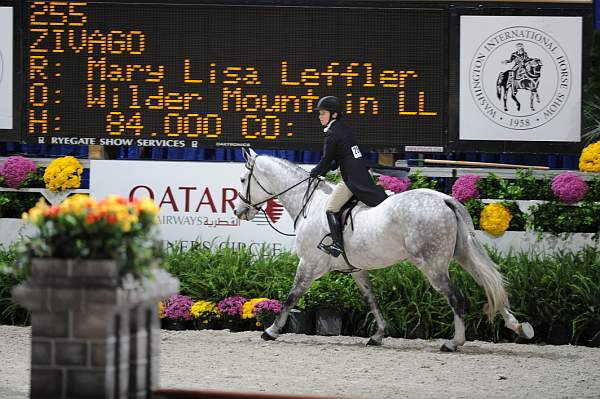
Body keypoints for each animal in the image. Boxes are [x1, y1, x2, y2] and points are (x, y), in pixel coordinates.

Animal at [234, 150, 536, 354]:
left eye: (243, 178)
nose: (239, 211)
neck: (310, 203)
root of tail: (444, 198)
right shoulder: (356, 269)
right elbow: (372, 299)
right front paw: (378, 335)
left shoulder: (308, 264)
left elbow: (291, 296)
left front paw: (271, 331)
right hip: (461, 255)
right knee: (488, 284)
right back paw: (519, 327)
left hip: (432, 265)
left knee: (457, 298)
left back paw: (453, 343)